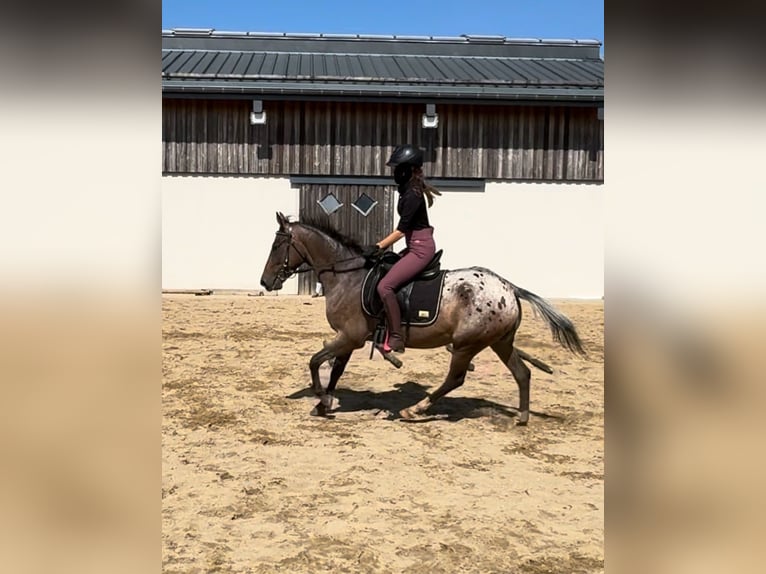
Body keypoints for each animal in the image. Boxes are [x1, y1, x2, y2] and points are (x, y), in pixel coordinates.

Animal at [260, 214, 588, 426]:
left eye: (276, 246)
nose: (265, 282)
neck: (347, 276)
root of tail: (509, 287)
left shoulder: (349, 336)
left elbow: (315, 361)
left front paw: (320, 397)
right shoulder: (350, 339)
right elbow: (336, 369)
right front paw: (323, 403)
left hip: (466, 344)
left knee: (455, 378)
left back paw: (414, 410)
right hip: (499, 342)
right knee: (522, 374)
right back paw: (522, 417)